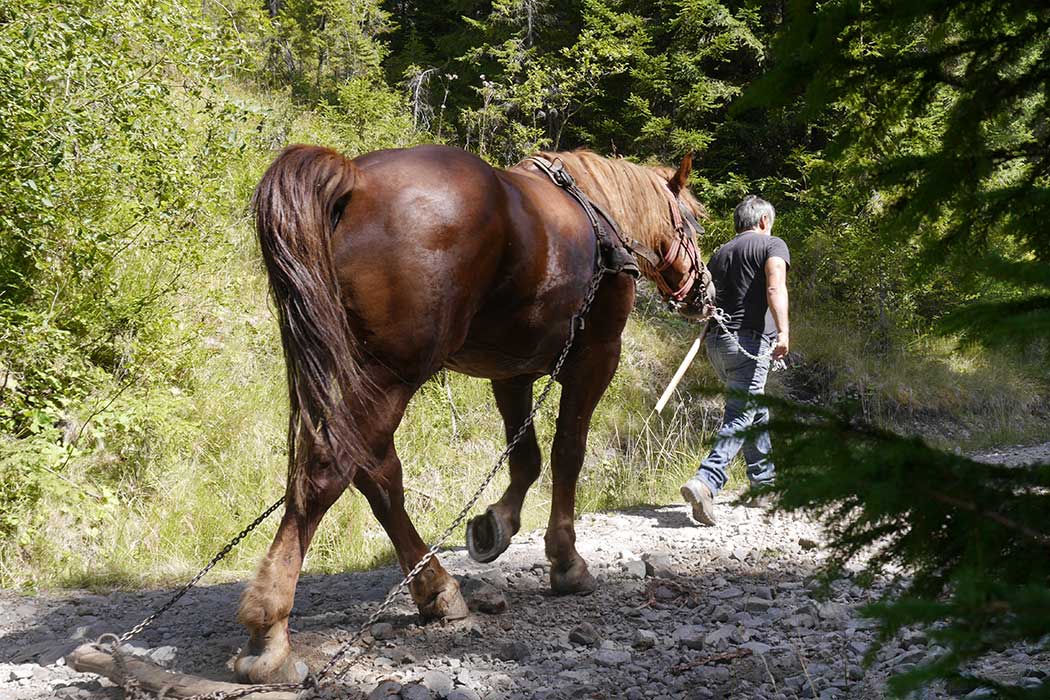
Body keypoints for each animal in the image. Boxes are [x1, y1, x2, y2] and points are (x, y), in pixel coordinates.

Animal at [235, 144, 712, 683]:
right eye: (692, 221)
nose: (704, 291)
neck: (599, 213)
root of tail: (354, 178)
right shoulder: (594, 359)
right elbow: (568, 454)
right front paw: (566, 561)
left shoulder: (512, 372)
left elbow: (526, 458)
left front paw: (494, 525)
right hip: (390, 377)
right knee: (330, 473)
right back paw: (270, 631)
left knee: (377, 475)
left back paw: (435, 588)